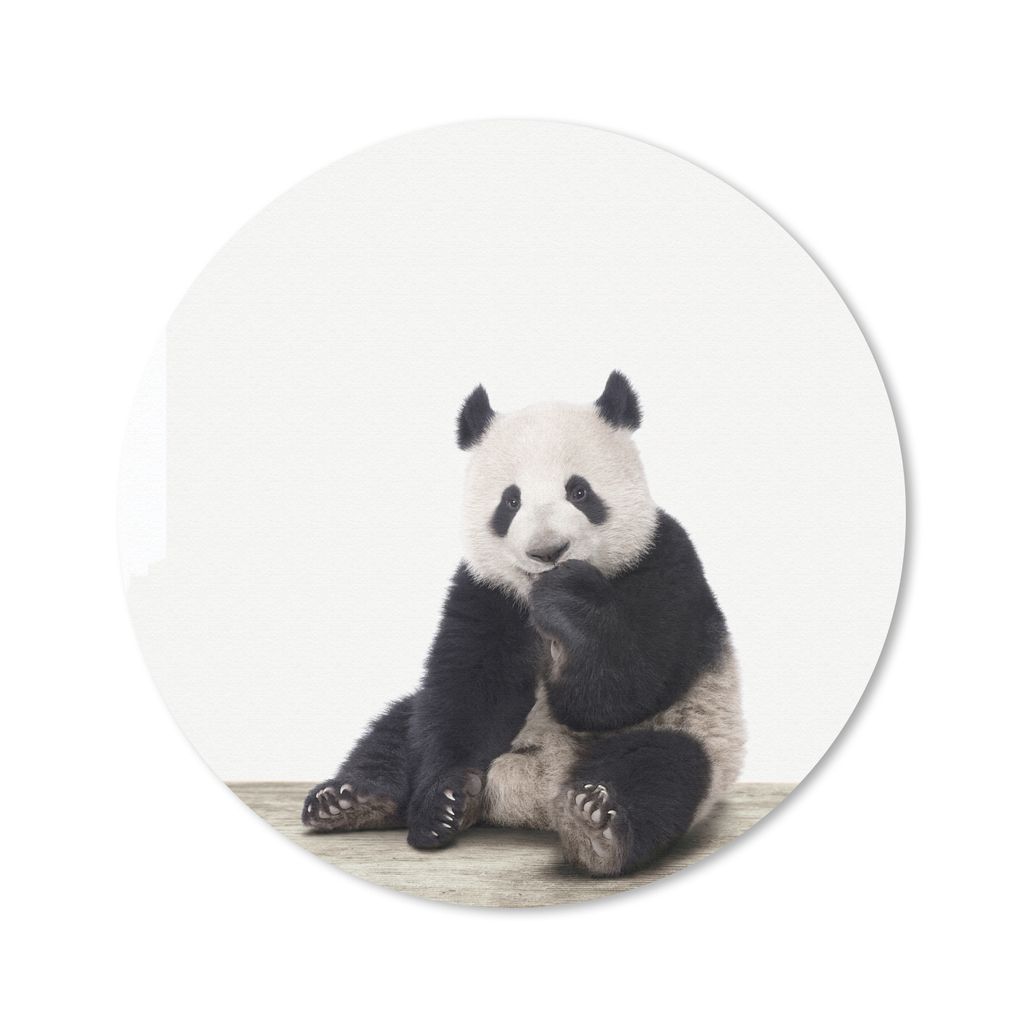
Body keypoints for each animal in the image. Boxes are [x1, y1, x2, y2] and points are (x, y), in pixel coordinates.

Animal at [302, 371, 745, 876]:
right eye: (510, 501)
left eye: (579, 492)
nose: (547, 551)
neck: (533, 595)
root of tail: (532, 797)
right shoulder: (486, 592)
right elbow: (468, 693)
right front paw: (443, 803)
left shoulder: (663, 561)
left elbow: (624, 687)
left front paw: (570, 600)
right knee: (398, 728)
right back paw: (352, 801)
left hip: (695, 730)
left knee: (663, 770)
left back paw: (595, 826)